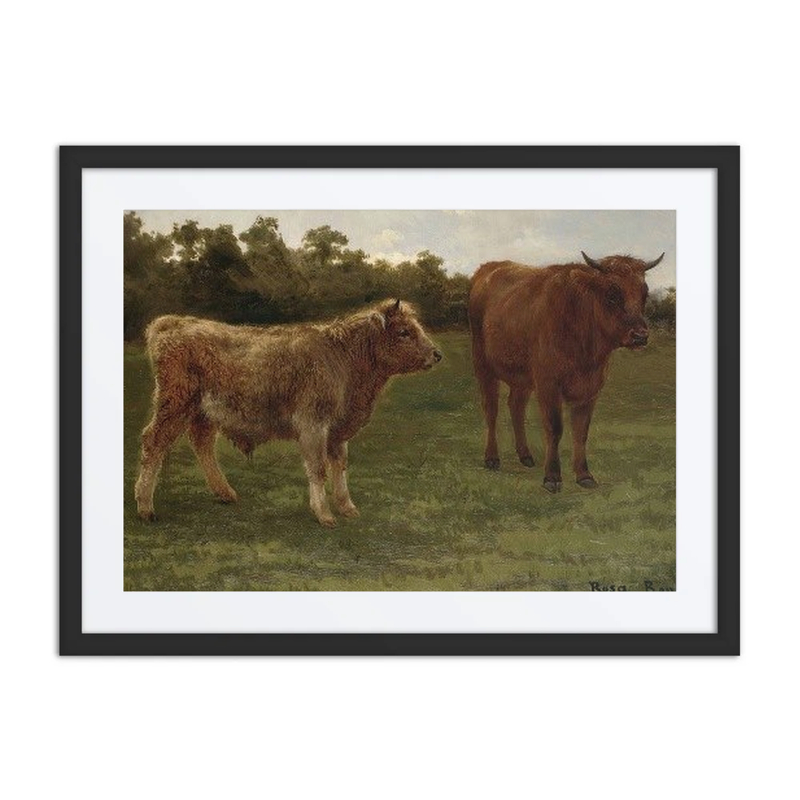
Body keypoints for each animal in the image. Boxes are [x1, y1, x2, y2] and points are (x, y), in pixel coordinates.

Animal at [134, 300, 442, 526]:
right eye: (404, 332)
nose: (437, 354)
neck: (342, 356)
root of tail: (173, 322)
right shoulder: (314, 425)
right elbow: (317, 468)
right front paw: (324, 514)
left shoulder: (337, 431)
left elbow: (339, 465)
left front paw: (347, 507)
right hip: (175, 404)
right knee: (154, 442)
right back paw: (146, 507)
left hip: (203, 411)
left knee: (202, 443)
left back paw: (225, 493)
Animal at [468, 251, 664, 492]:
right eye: (612, 294)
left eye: (644, 294)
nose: (640, 335)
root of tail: (489, 268)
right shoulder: (548, 385)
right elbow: (555, 428)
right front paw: (552, 477)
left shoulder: (590, 389)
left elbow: (581, 432)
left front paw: (584, 475)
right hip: (483, 365)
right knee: (491, 409)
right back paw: (492, 458)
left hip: (522, 377)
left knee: (516, 406)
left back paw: (525, 456)